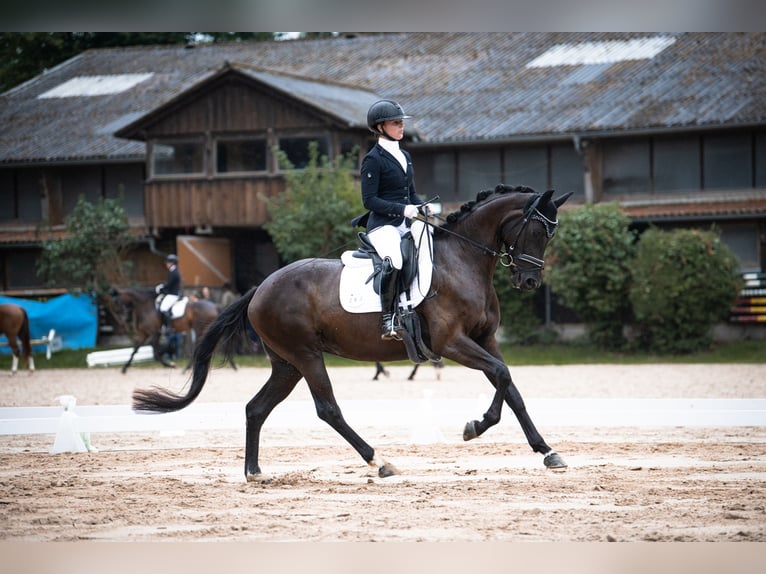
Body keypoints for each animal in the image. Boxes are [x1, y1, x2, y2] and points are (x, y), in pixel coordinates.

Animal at [135, 186, 572, 482]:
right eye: (537, 231)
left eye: (550, 234)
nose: (530, 281)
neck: (461, 262)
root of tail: (260, 288)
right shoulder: (452, 343)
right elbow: (501, 376)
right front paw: (475, 426)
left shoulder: (485, 340)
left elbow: (510, 386)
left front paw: (546, 450)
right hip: (306, 355)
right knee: (327, 409)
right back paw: (379, 461)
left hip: (286, 364)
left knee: (256, 408)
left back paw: (255, 471)